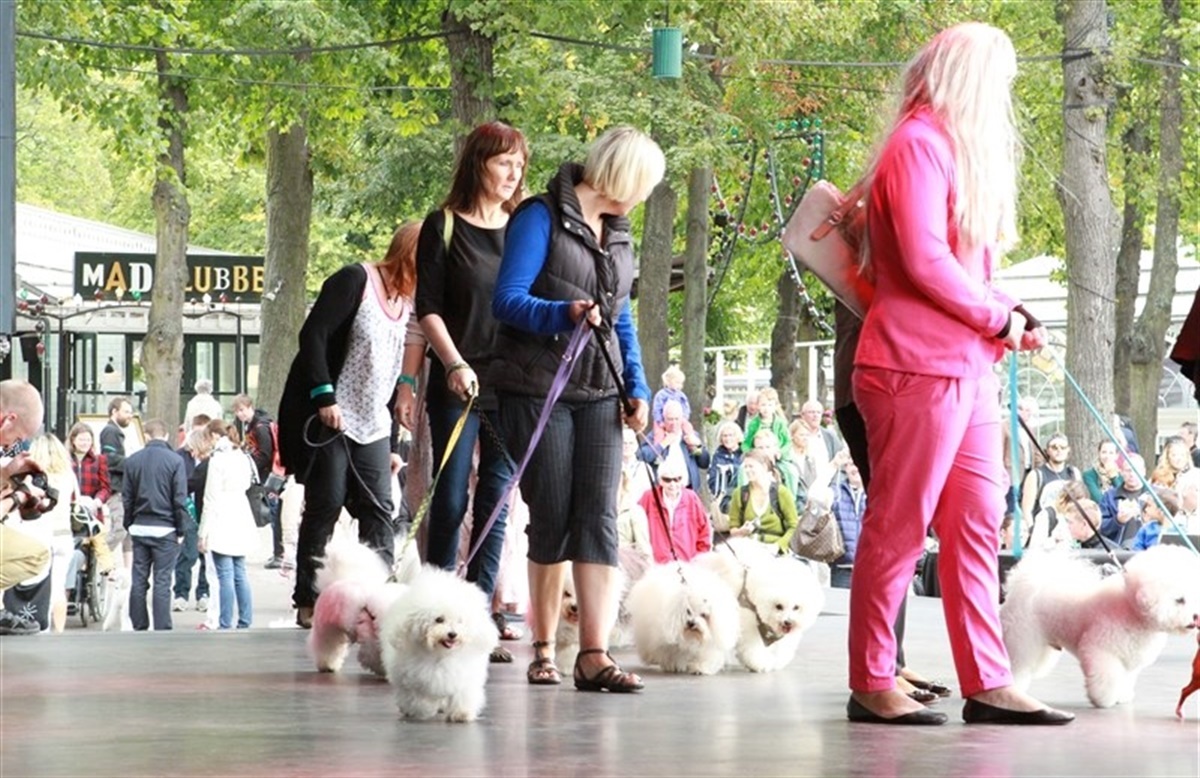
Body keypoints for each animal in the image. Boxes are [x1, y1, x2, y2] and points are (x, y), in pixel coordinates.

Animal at [307, 525, 405, 677]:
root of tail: (335, 580)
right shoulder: (370, 637)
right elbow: (374, 655)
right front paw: (382, 669)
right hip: (325, 628)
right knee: (325, 645)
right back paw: (327, 665)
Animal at [381, 564, 499, 725]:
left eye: (460, 621)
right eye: (439, 619)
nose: (452, 634)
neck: (440, 655)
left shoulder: (464, 678)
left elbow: (461, 695)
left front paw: (461, 714)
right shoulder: (411, 681)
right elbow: (418, 699)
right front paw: (423, 710)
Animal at [696, 537, 825, 672]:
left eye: (796, 607)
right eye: (779, 606)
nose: (788, 622)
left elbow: (782, 648)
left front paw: (777, 662)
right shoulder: (749, 624)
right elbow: (753, 647)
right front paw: (761, 664)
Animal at [998, 545, 1200, 705]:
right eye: (1180, 600)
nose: (1196, 616)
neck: (1131, 609)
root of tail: (1023, 586)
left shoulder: (1128, 659)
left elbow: (1125, 679)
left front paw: (1122, 696)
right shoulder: (1100, 650)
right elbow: (1106, 677)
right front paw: (1104, 699)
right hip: (1022, 639)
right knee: (1017, 664)